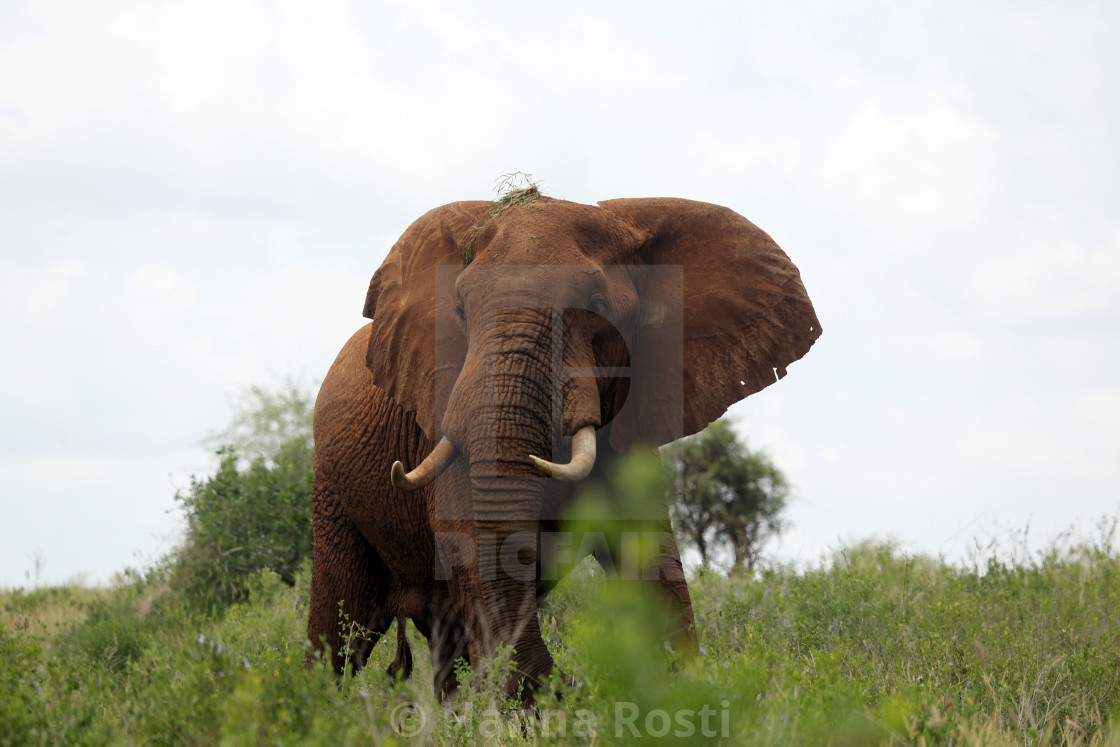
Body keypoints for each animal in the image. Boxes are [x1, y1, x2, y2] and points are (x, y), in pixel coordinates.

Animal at [306, 188, 824, 703]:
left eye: (596, 304)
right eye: (460, 310)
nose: (572, 683)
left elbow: (651, 560)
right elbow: (471, 549)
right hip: (332, 488)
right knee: (339, 626)